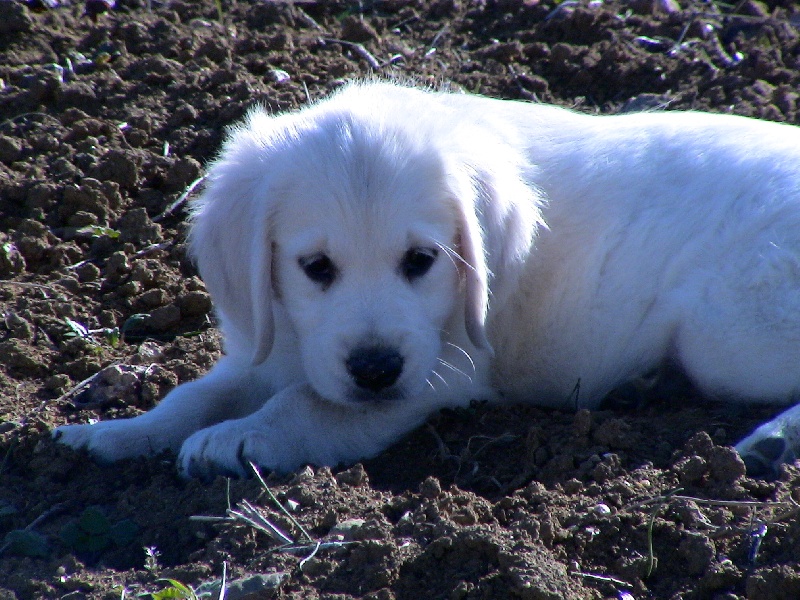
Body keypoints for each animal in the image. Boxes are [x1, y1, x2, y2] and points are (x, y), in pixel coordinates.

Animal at [57, 82, 800, 480]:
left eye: (421, 260)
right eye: (315, 268)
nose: (376, 368)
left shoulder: (452, 365)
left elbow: (312, 405)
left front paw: (237, 439)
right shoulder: (270, 343)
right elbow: (196, 393)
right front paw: (118, 433)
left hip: (727, 331)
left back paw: (773, 441)